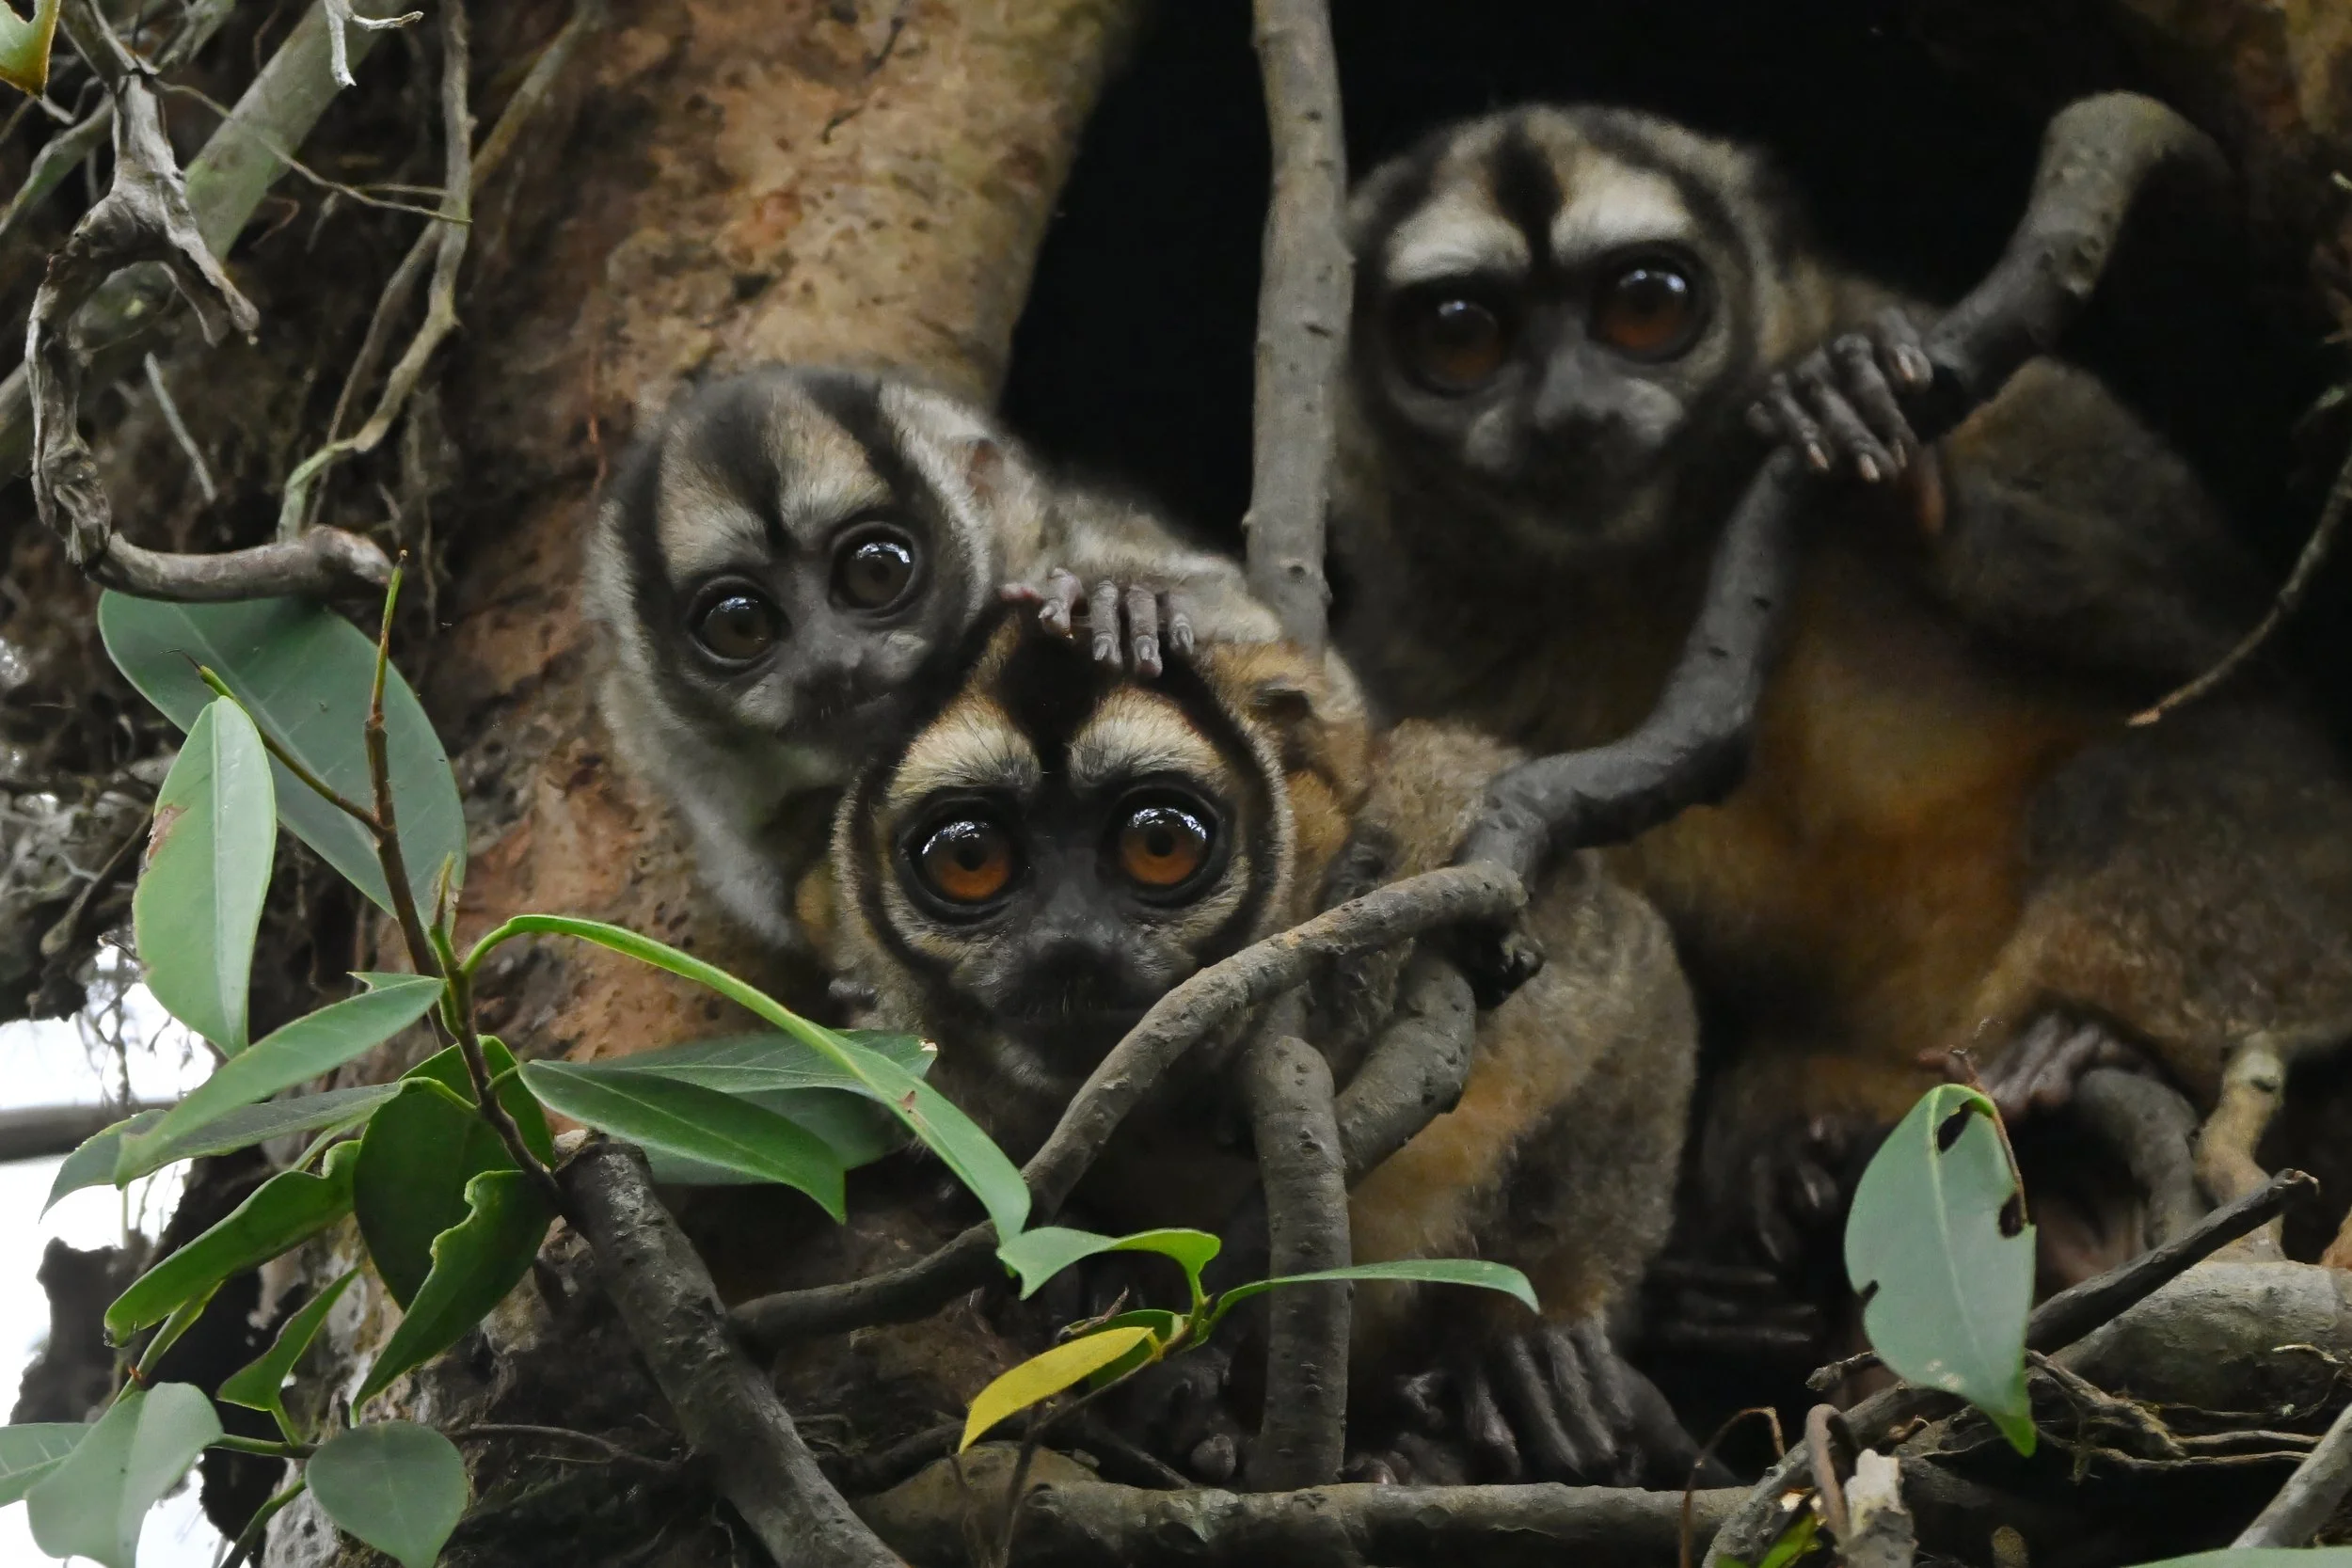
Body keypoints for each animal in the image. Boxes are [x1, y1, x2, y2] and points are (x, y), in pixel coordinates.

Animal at [826, 609, 1705, 1484]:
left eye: (1160, 843)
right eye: (969, 856)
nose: (1069, 948)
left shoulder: (1441, 888)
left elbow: (1636, 979)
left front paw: (1533, 1335)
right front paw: (1083, 1265)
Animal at [1329, 103, 2352, 1322]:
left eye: (1646, 304)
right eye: (1459, 335)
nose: (1566, 412)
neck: (1658, 550)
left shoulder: (2014, 400)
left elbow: (2227, 650)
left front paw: (1867, 429)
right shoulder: (1413, 628)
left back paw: (2074, 1042)